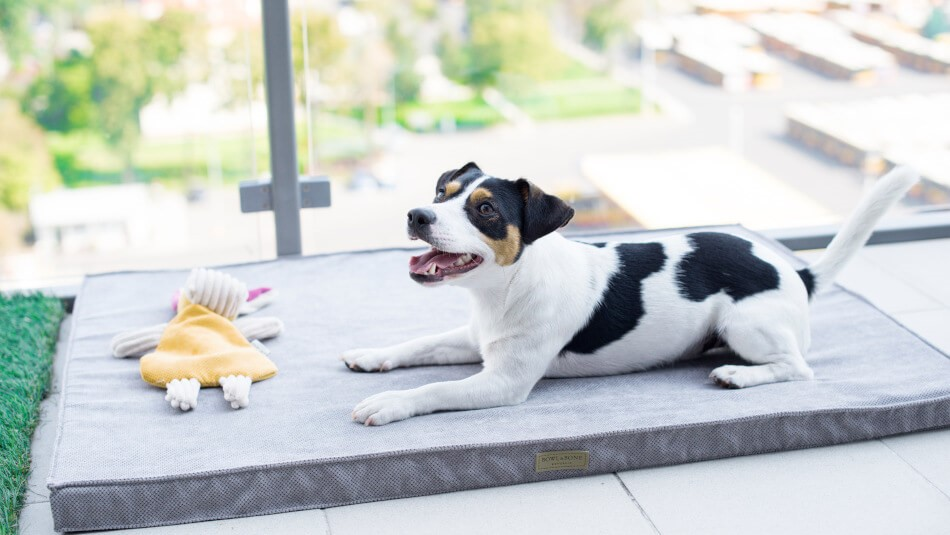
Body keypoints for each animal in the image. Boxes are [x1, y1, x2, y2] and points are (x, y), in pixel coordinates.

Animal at [344, 163, 924, 428]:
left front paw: (390, 402)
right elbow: (417, 345)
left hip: (746, 326)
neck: (505, 287)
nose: (417, 215)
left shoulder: (503, 383)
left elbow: (434, 388)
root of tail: (794, 270)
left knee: (798, 369)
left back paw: (738, 375)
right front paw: (371, 355)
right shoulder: (470, 340)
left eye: (484, 209)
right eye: (441, 193)